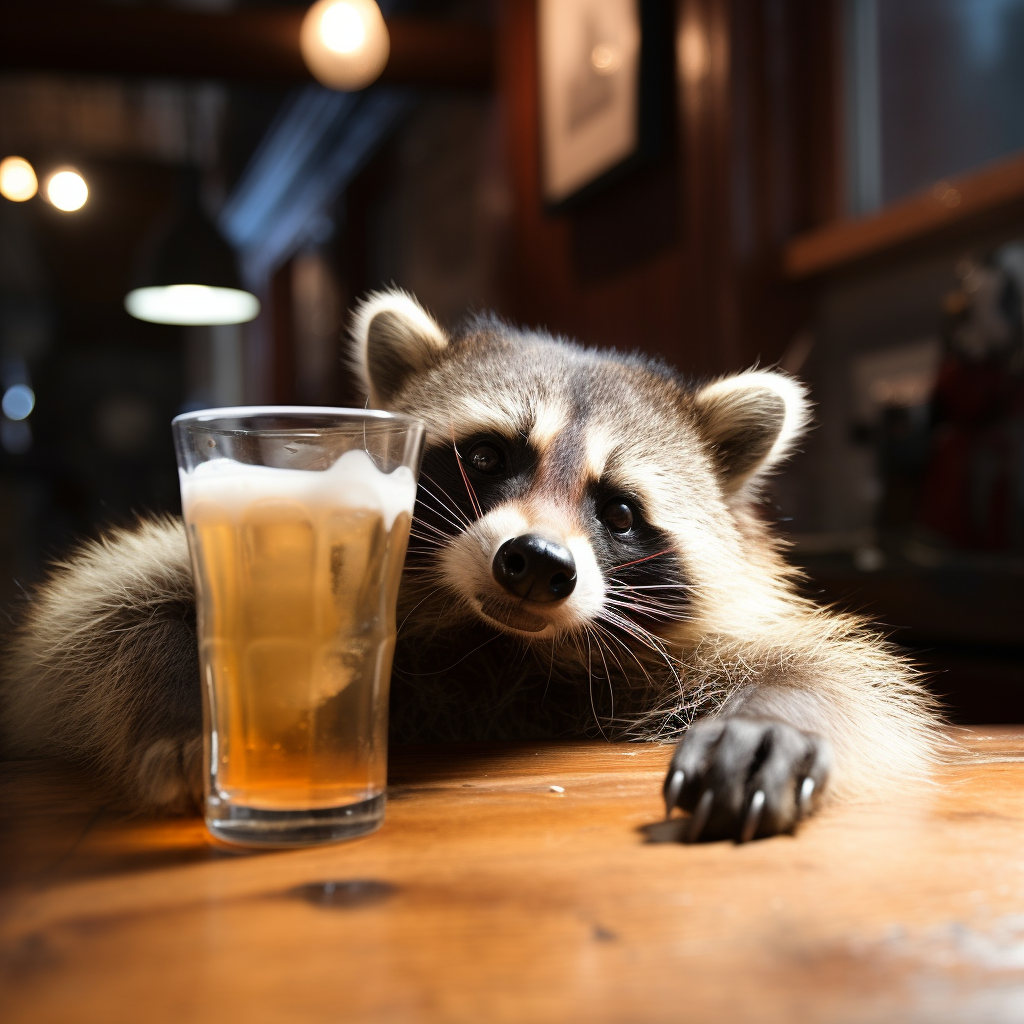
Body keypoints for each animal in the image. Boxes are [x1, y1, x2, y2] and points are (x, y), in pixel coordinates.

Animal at [2, 288, 942, 839]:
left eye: (619, 512)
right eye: (488, 458)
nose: (536, 564)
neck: (498, 644)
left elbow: (832, 672)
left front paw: (777, 715)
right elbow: (95, 619)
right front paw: (182, 702)